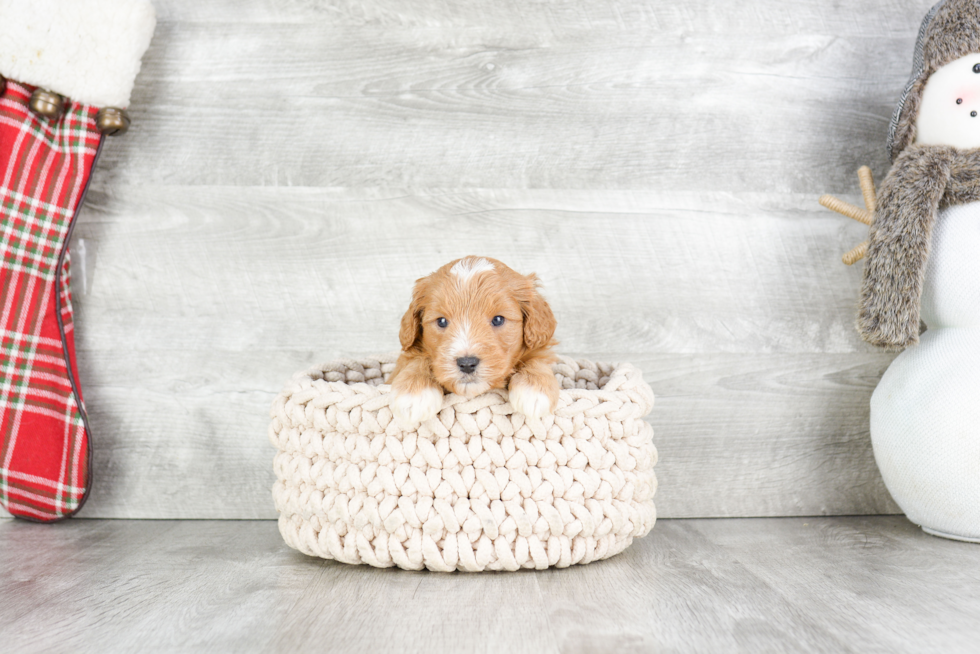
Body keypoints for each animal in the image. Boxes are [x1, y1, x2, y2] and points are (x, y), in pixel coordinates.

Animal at [388, 256, 560, 430]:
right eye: (442, 321)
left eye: (498, 319)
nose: (467, 364)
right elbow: (417, 359)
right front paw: (414, 393)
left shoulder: (538, 347)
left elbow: (536, 359)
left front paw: (534, 390)